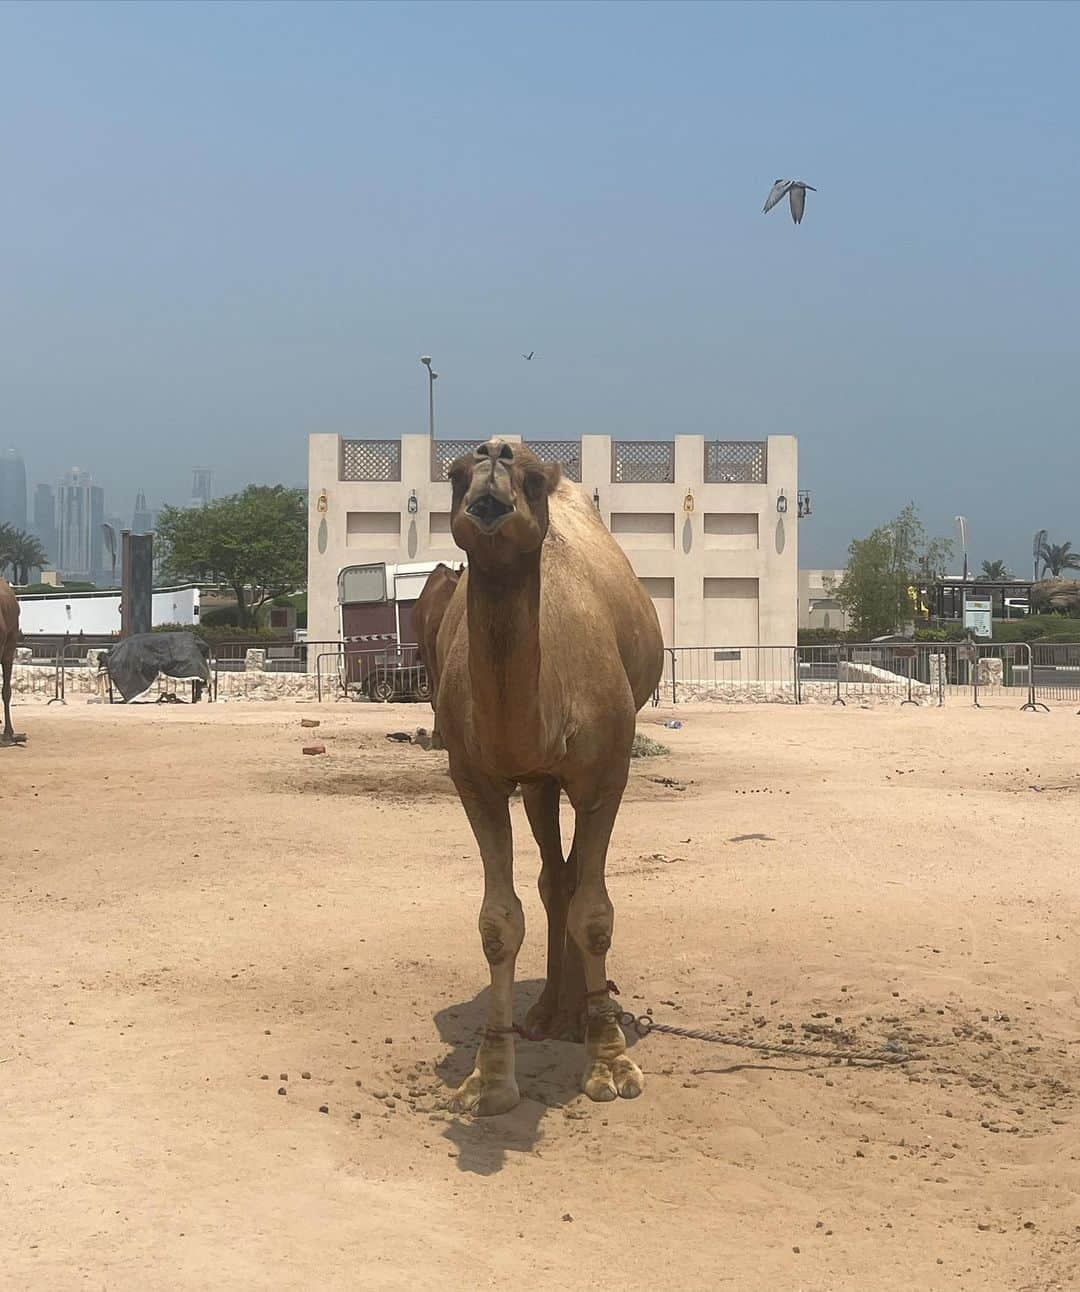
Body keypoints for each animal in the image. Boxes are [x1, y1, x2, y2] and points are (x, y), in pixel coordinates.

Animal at [434, 439, 661, 1116]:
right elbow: (497, 921)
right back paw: (551, 1014)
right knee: (552, 877)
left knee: (572, 878)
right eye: (455, 475)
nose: (493, 456)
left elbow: (596, 913)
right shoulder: (475, 776)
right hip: (537, 782)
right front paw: (488, 1079)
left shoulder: (606, 772)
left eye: (532, 479)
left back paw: (579, 1015)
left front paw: (610, 1062)